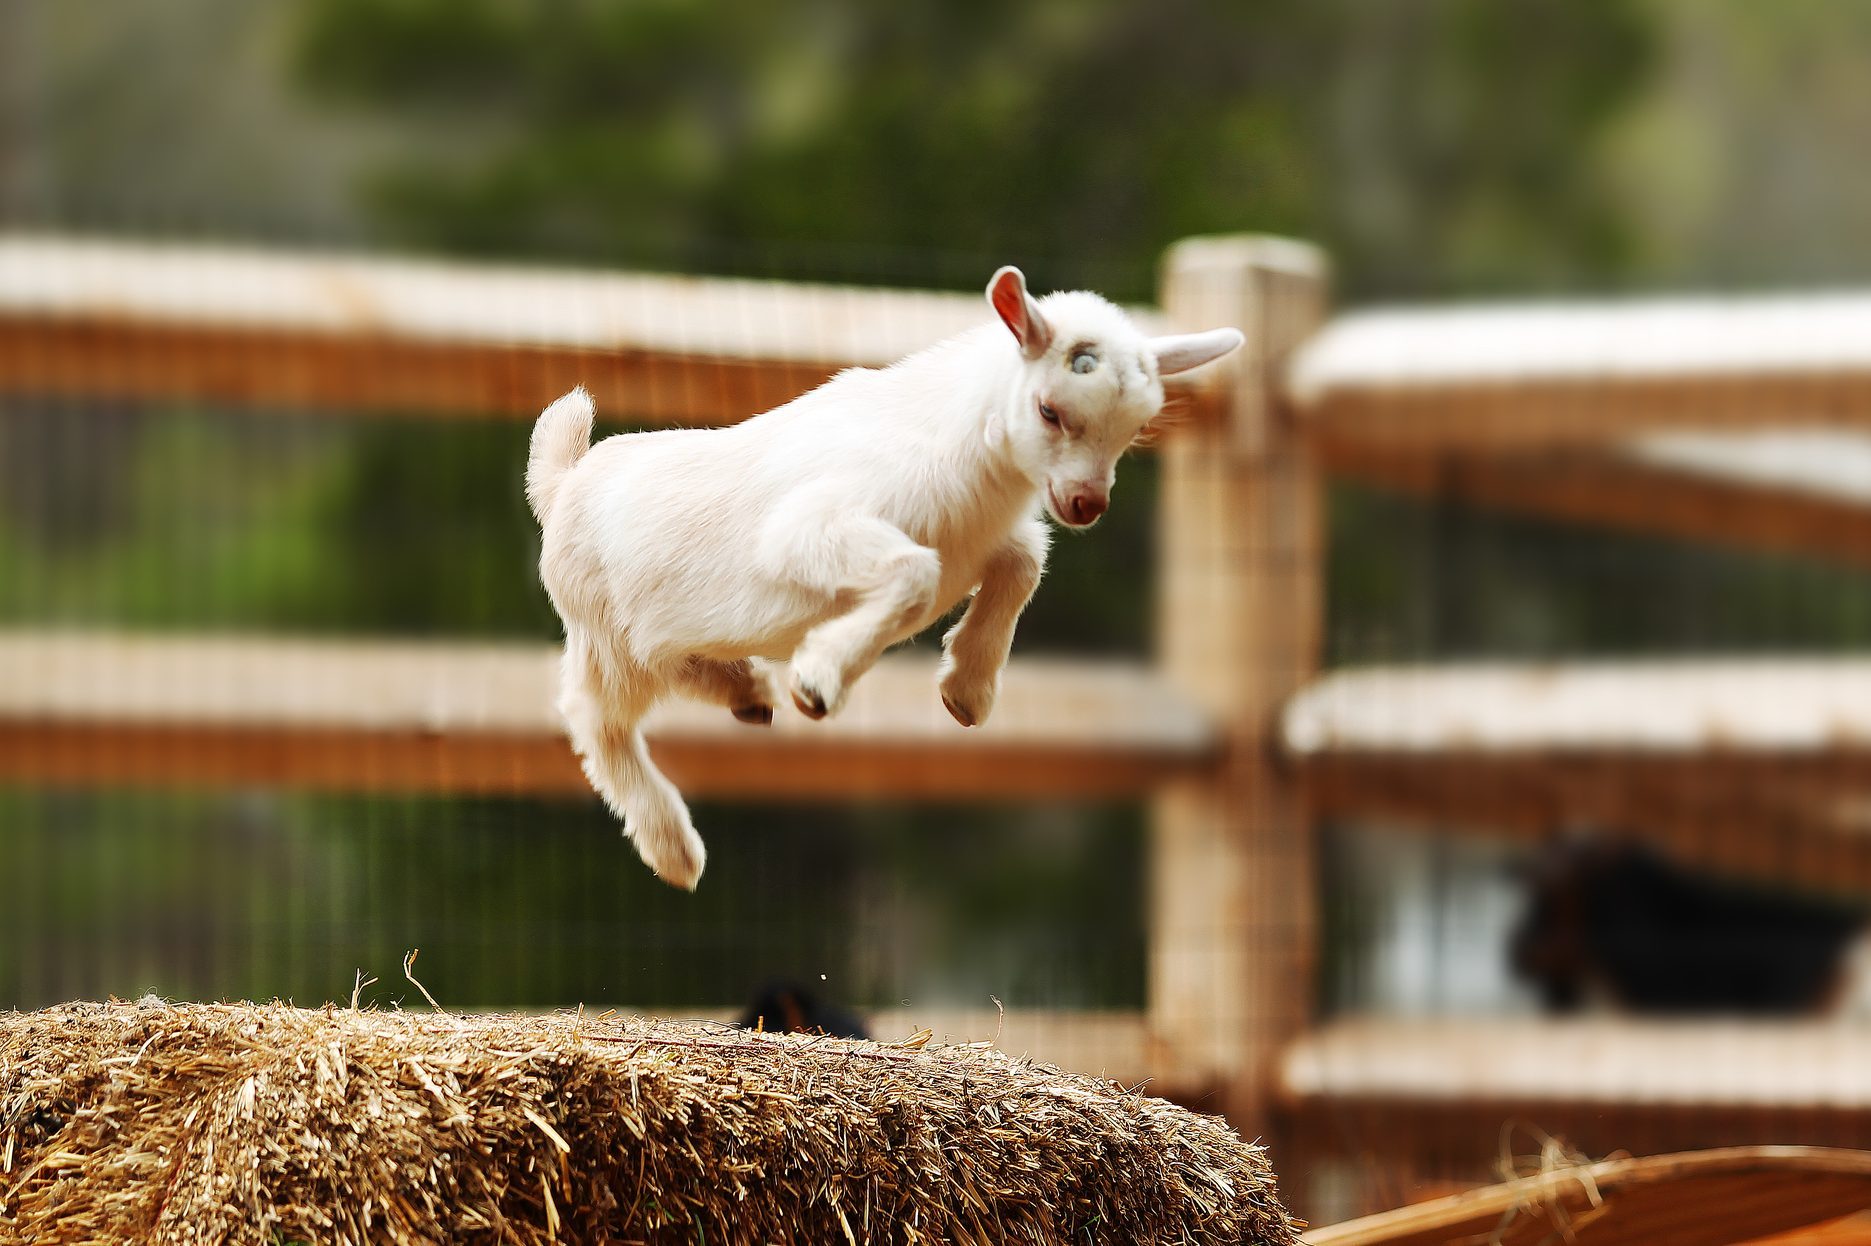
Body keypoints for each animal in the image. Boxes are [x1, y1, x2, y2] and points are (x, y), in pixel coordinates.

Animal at [527, 267, 1242, 888]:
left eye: (1136, 427)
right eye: (1049, 410)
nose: (1086, 504)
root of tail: (565, 482)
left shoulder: (983, 543)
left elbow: (1022, 564)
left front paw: (967, 690)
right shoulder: (807, 530)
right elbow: (916, 573)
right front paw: (819, 681)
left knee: (673, 665)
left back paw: (746, 691)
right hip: (605, 637)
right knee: (596, 723)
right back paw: (674, 849)